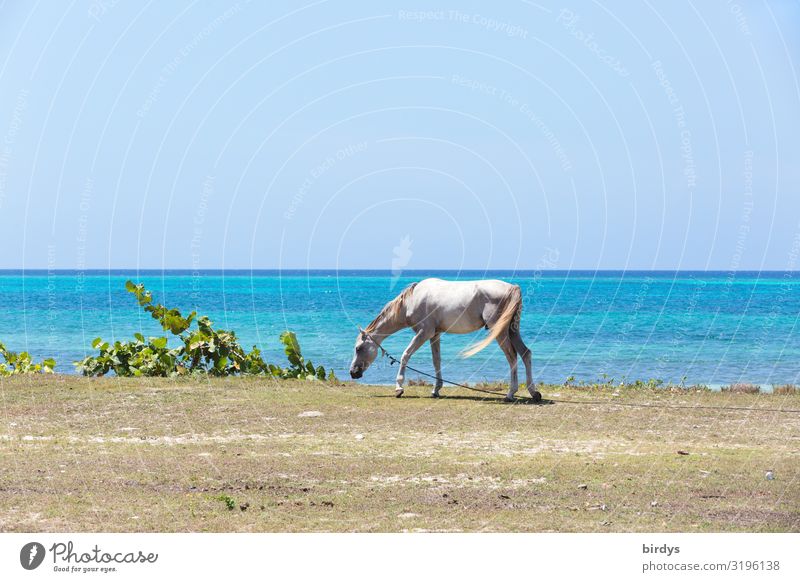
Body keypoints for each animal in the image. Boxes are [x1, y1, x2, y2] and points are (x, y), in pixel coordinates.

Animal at [346, 278, 540, 402]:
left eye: (358, 348)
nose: (353, 372)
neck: (412, 300)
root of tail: (513, 287)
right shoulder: (435, 335)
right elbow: (436, 360)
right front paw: (436, 389)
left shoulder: (424, 332)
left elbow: (406, 354)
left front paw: (399, 388)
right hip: (512, 331)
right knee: (525, 354)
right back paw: (533, 392)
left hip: (499, 332)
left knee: (512, 357)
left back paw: (510, 394)